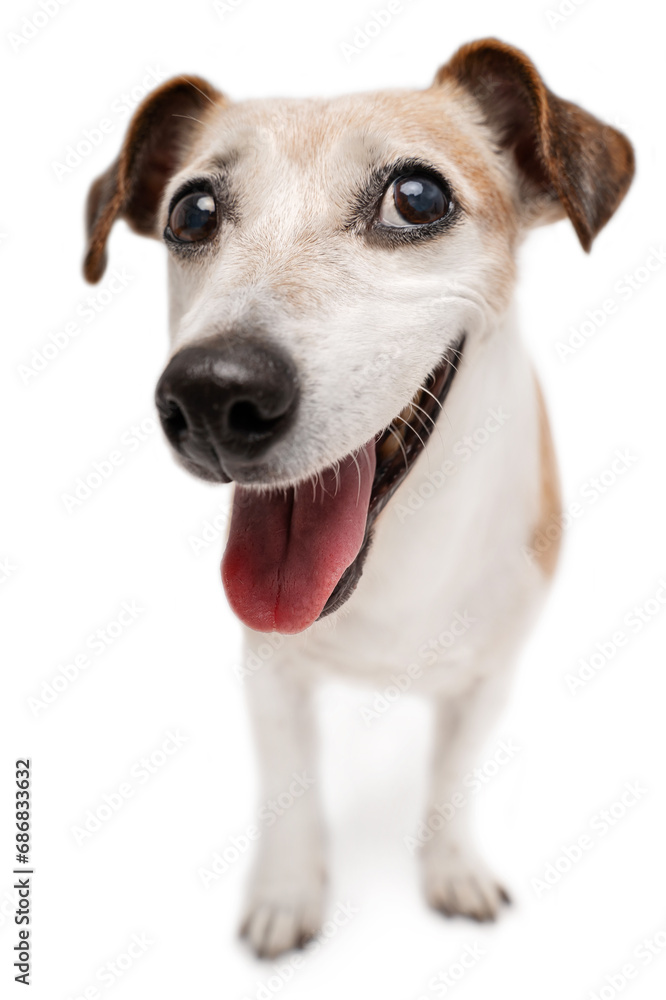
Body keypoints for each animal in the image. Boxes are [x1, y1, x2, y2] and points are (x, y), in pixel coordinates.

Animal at [83, 39, 632, 956]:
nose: (213, 393)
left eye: (418, 198)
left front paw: (451, 868)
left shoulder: (488, 675)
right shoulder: (270, 671)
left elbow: (450, 773)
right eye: (192, 212)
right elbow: (291, 785)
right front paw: (288, 891)